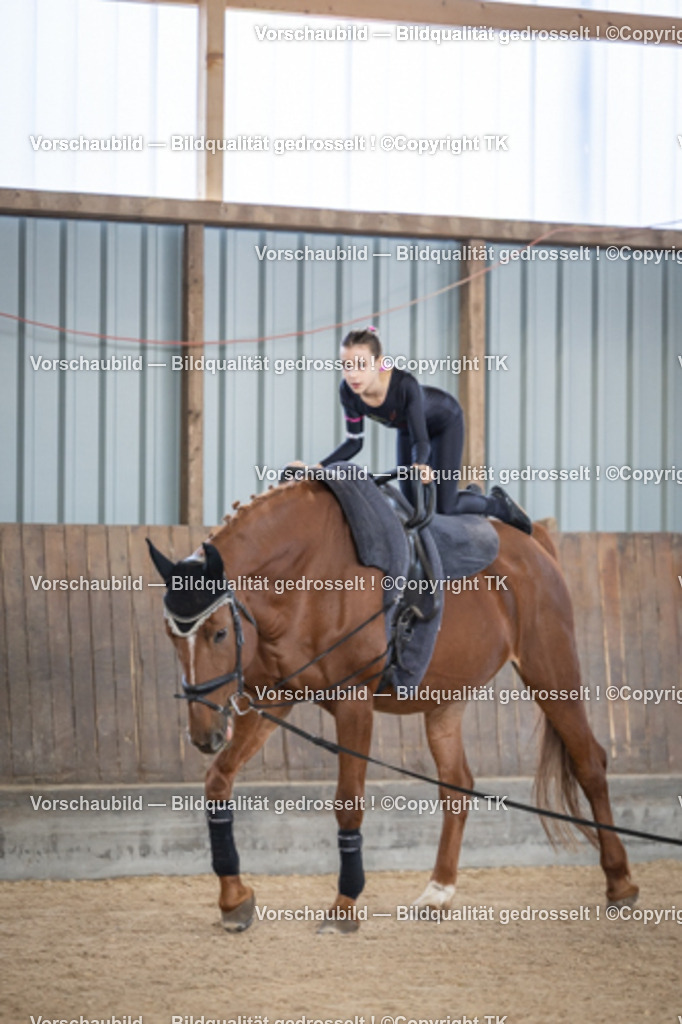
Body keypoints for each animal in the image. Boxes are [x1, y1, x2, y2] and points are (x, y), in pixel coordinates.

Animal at [147, 478, 639, 932]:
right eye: (171, 635)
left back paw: (620, 883)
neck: (308, 573)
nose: (204, 735)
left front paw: (344, 908)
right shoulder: (277, 699)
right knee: (457, 785)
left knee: (588, 761)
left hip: (550, 669)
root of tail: (535, 543)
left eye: (218, 634)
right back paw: (438, 892)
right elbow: (218, 781)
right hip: (447, 701)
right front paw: (234, 901)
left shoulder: (353, 703)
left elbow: (348, 803)